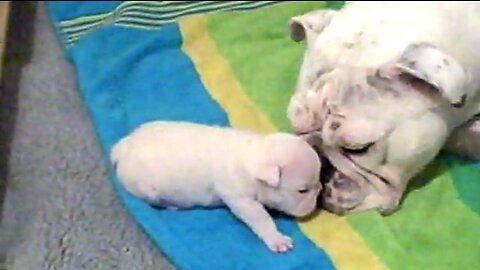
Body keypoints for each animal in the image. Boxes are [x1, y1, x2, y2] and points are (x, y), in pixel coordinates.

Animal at [110, 121, 322, 252]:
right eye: (302, 191)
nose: (318, 198)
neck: (254, 155)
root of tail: (123, 146)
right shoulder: (241, 199)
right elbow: (261, 218)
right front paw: (277, 238)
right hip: (145, 188)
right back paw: (171, 205)